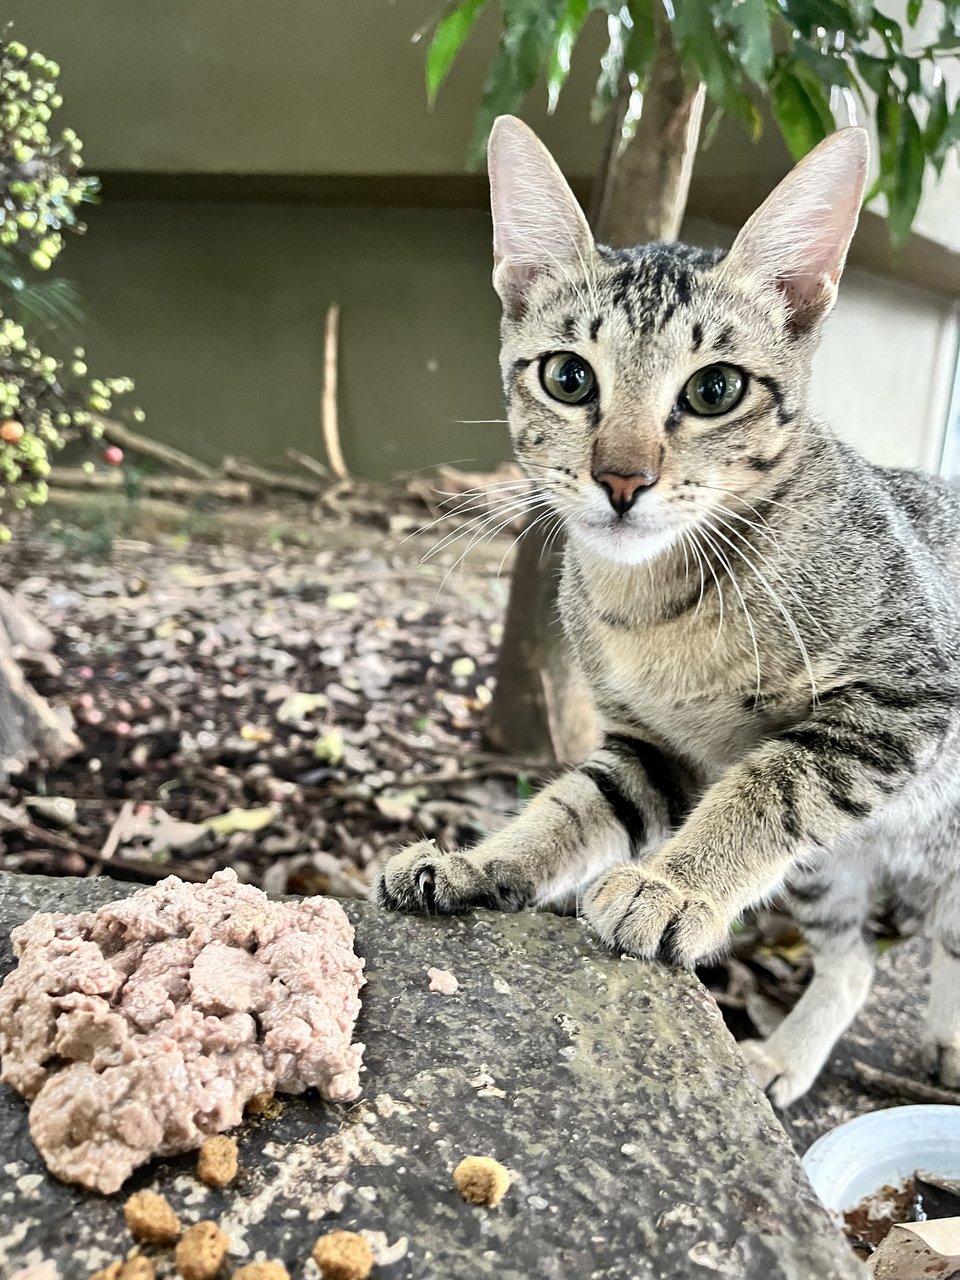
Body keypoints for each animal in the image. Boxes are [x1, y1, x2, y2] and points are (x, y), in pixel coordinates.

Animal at [376, 115, 960, 1105]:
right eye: (569, 378)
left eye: (715, 389)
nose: (621, 479)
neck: (657, 603)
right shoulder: (655, 748)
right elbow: (574, 806)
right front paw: (483, 862)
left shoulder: (906, 694)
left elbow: (771, 785)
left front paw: (676, 885)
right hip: (826, 872)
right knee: (853, 964)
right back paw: (789, 1056)